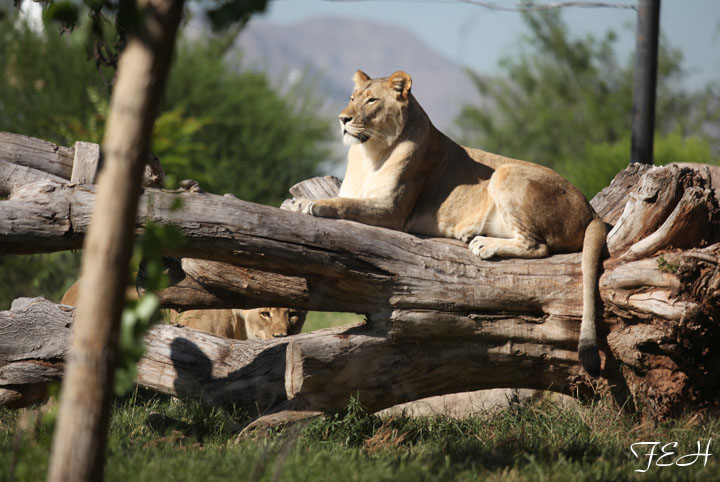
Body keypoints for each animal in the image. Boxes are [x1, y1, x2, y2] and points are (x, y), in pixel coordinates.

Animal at [283, 70, 607, 376]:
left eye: (371, 101)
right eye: (352, 97)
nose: (343, 119)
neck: (368, 154)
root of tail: (591, 210)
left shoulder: (392, 211)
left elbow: (343, 204)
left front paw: (310, 205)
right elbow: (344, 198)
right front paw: (295, 203)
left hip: (506, 172)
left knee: (538, 246)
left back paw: (484, 244)